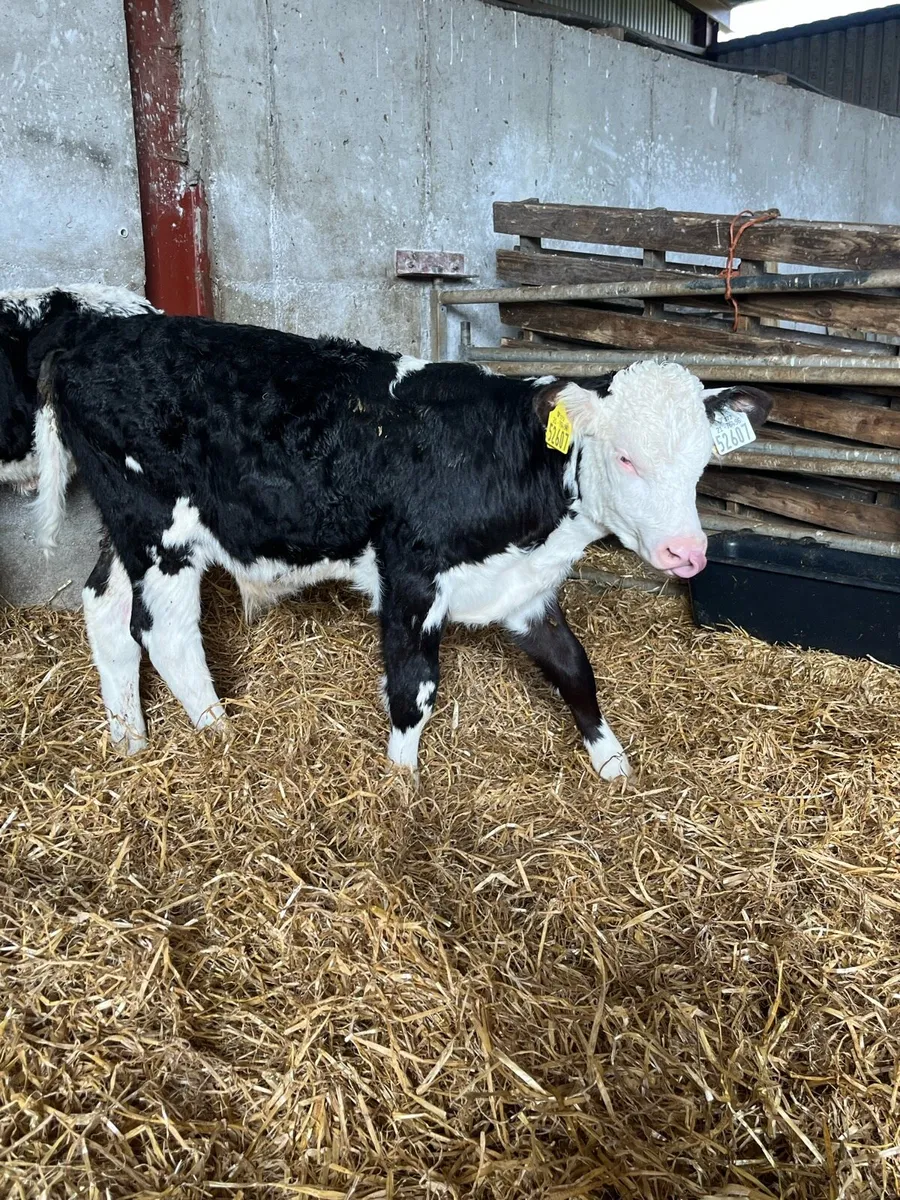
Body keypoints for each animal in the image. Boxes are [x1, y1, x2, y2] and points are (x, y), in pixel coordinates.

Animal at [28, 312, 771, 778]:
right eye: (624, 458)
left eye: (703, 462)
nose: (687, 553)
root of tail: (88, 340)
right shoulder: (409, 577)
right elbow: (414, 688)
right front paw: (401, 785)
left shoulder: (525, 589)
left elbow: (575, 671)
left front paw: (613, 764)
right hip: (159, 530)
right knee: (165, 633)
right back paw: (221, 735)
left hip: (122, 526)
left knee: (105, 611)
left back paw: (129, 740)